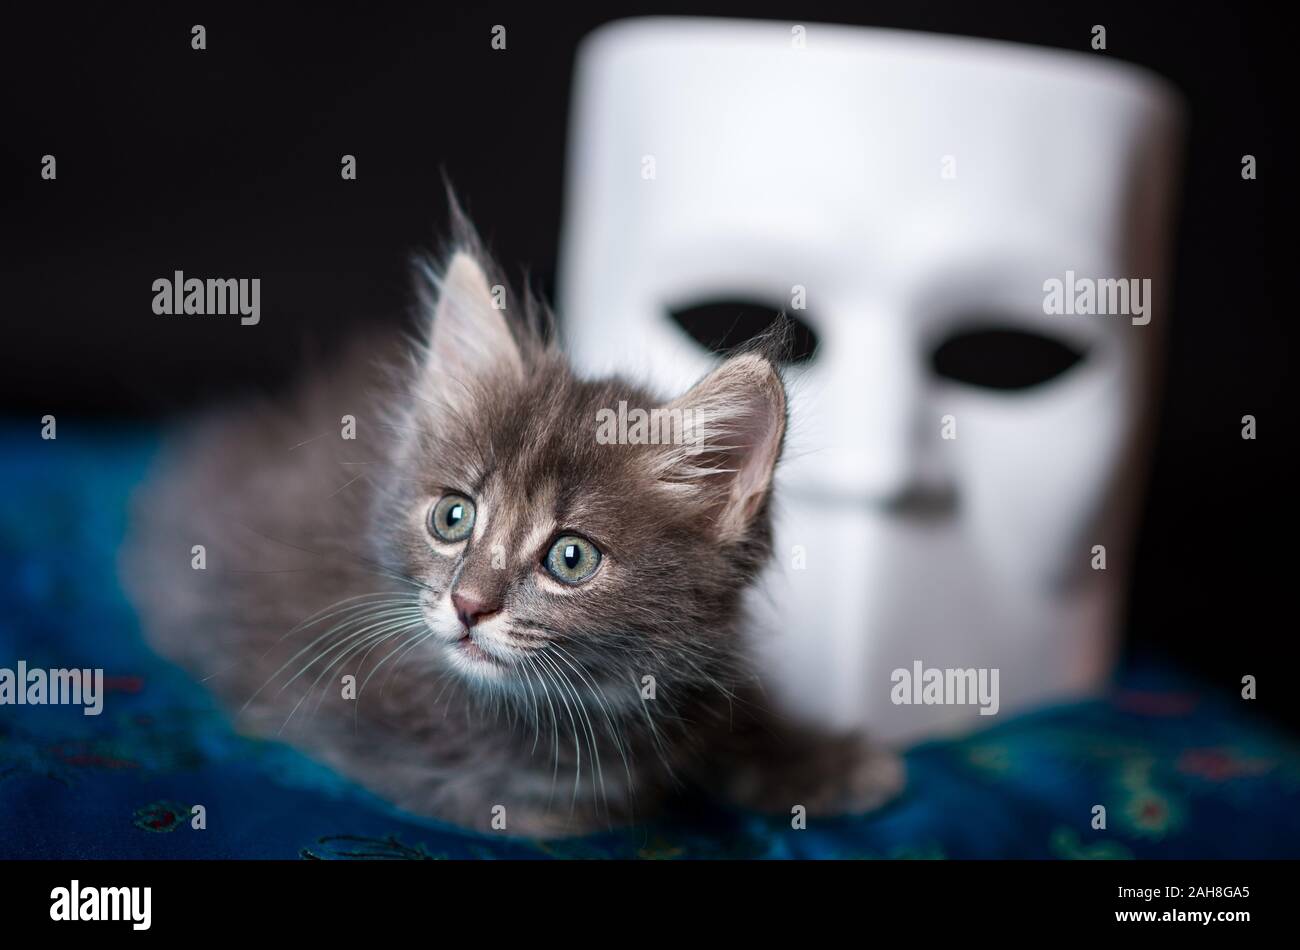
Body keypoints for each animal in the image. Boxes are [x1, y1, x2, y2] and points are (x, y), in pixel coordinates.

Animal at [122, 219, 899, 836]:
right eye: (453, 516)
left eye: (571, 558)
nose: (468, 604)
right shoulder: (353, 718)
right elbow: (547, 804)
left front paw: (810, 757)